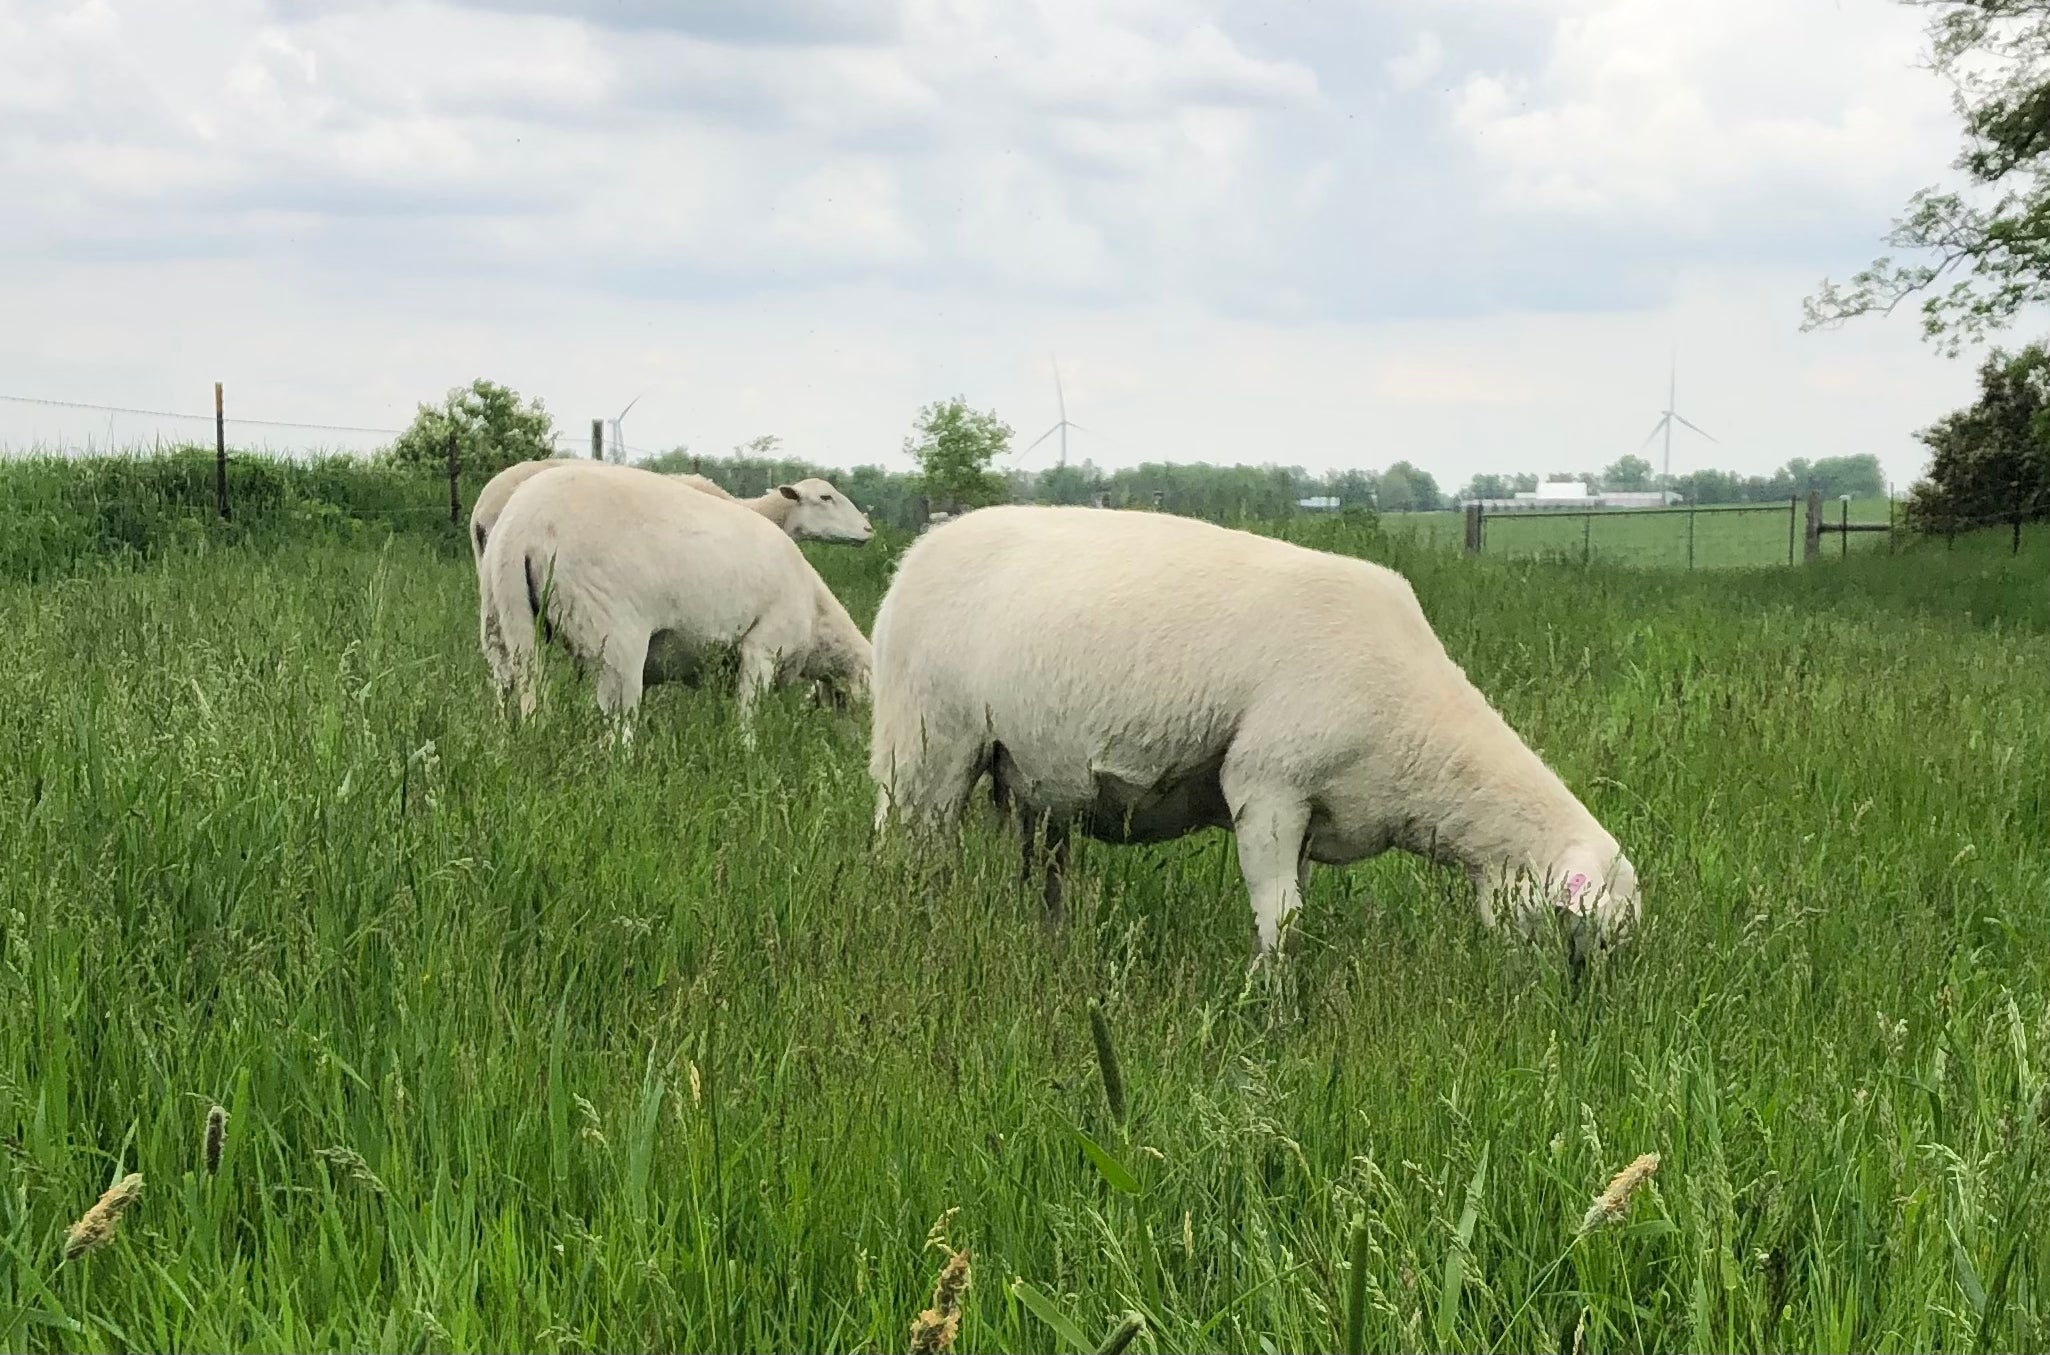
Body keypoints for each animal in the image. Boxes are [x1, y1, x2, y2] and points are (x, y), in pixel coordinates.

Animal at [480, 461, 871, 740]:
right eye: (825, 497)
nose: (869, 529)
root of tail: (523, 526)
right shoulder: (761, 648)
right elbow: (746, 717)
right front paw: (745, 756)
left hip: (501, 618)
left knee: (513, 685)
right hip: (613, 634)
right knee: (617, 722)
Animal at [867, 504, 1640, 961]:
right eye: (1586, 933)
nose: (1574, 1015)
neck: (1424, 745)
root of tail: (918, 551)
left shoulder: (1310, 813)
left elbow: (1292, 909)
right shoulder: (1268, 788)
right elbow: (1283, 922)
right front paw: (1273, 1017)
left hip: (1028, 779)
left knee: (1040, 877)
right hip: (926, 749)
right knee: (908, 857)